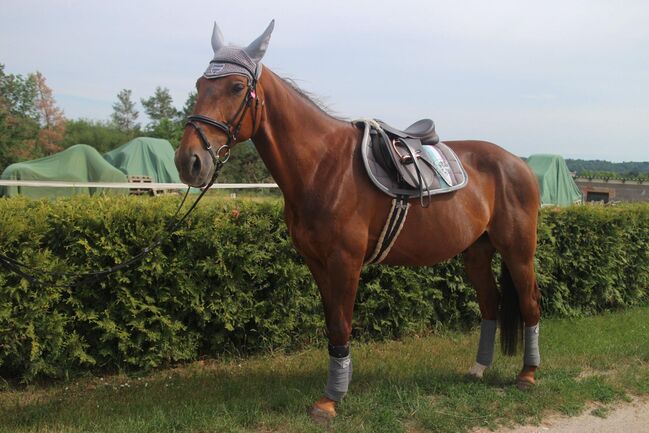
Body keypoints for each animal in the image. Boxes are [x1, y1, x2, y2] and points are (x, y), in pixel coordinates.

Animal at [173, 21, 540, 418]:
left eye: (237, 88)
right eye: (200, 85)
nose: (189, 161)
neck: (323, 165)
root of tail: (518, 163)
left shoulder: (345, 261)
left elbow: (341, 325)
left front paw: (331, 399)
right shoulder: (317, 263)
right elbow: (334, 323)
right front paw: (339, 385)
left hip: (519, 251)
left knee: (530, 303)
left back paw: (528, 374)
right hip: (475, 252)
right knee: (490, 303)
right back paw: (478, 369)